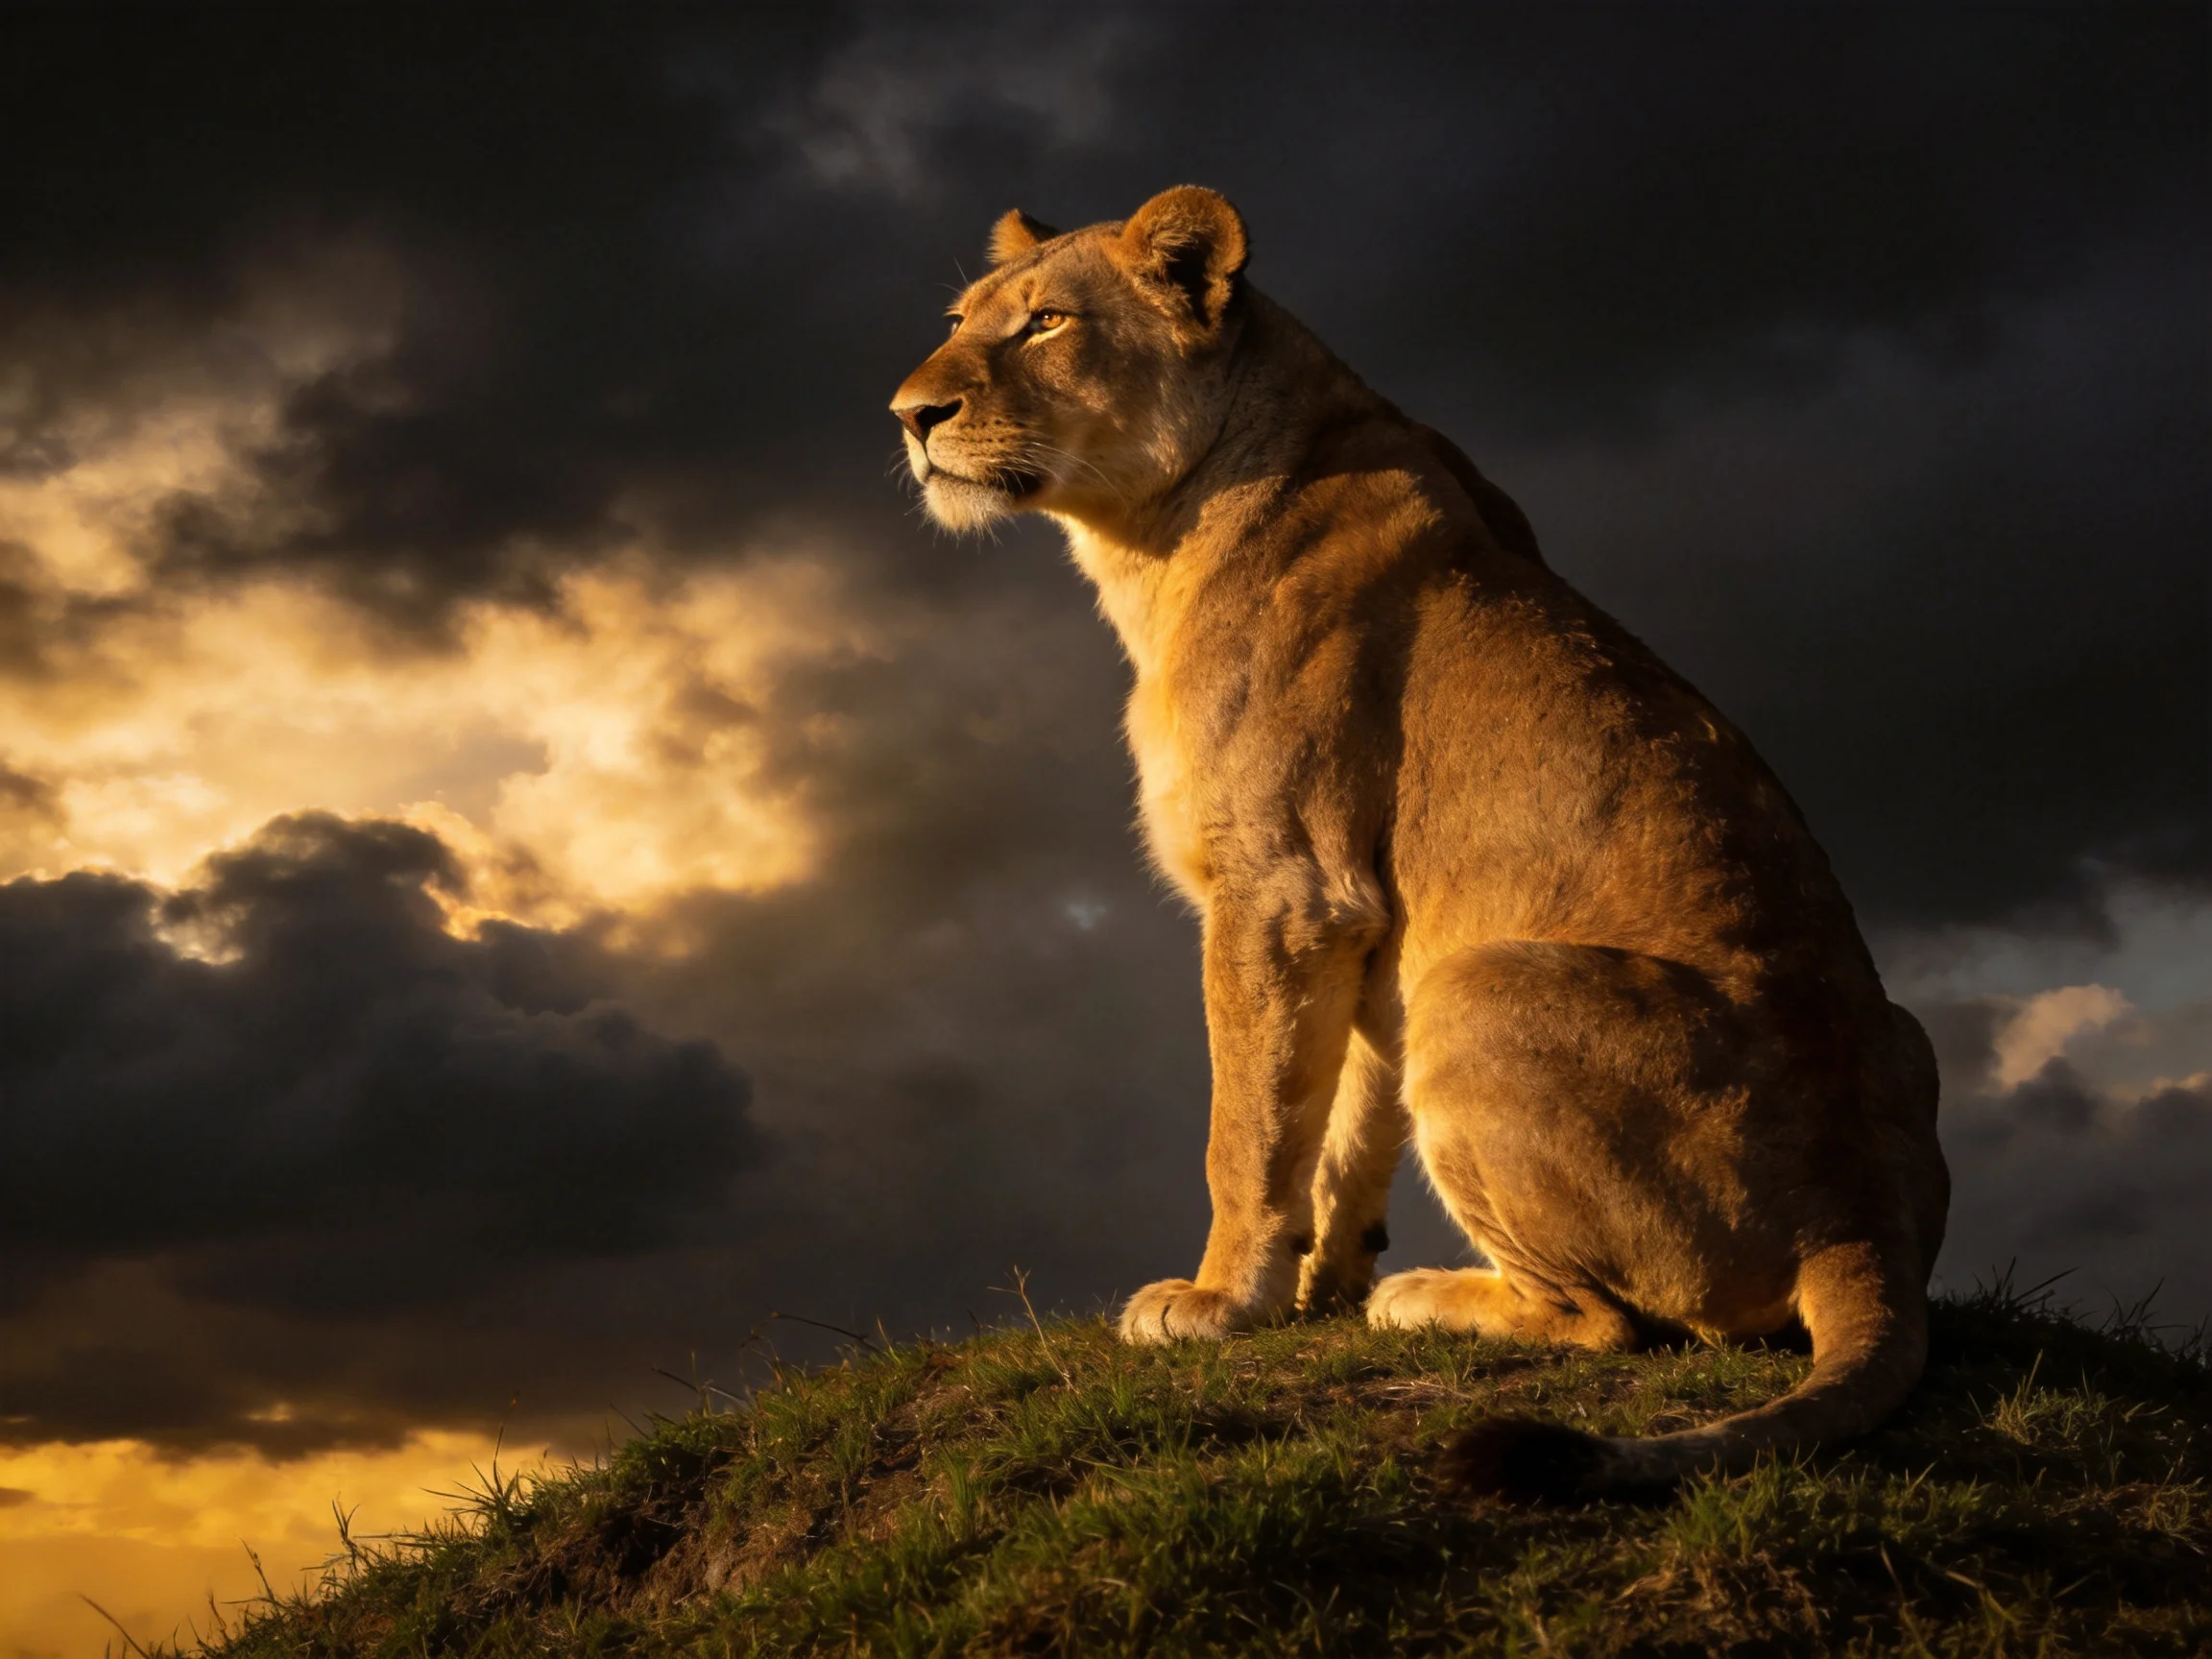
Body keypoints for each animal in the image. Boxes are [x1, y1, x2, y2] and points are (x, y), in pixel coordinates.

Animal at [890, 186, 1949, 1499]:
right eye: (959, 321)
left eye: (1046, 323)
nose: (911, 415)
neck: (1155, 535)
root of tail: (1863, 1227)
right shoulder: (1363, 927)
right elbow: (1345, 1123)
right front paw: (1316, 1286)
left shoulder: (1281, 887)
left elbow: (1248, 1126)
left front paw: (1219, 1301)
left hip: (1478, 979)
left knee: (1616, 1324)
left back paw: (1429, 1296)